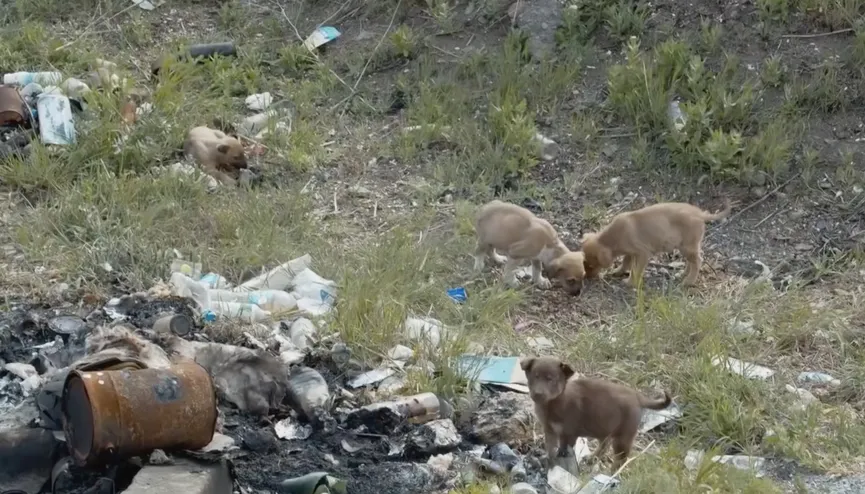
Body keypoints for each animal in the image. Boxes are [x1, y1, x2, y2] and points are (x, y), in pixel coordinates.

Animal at [520, 356, 668, 468]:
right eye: (535, 377)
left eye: (550, 379)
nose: (537, 394)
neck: (552, 404)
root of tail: (637, 396)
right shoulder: (549, 429)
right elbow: (550, 448)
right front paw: (549, 461)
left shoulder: (569, 433)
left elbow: (563, 449)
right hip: (604, 427)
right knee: (604, 445)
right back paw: (592, 459)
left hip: (624, 435)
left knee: (620, 459)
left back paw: (610, 474)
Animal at [576, 200, 732, 288]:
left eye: (592, 265)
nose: (587, 277)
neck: (612, 236)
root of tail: (701, 214)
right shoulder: (630, 253)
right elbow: (625, 263)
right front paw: (618, 271)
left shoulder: (643, 254)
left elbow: (636, 270)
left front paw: (630, 283)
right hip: (685, 247)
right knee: (692, 262)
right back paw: (682, 274)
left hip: (688, 247)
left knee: (698, 261)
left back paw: (689, 281)